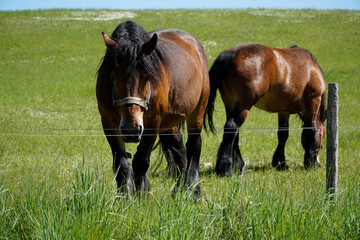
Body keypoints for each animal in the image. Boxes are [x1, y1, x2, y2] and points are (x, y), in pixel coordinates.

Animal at [95, 21, 210, 199]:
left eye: (147, 77)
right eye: (112, 77)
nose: (131, 130)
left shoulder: (152, 124)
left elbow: (141, 161)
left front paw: (140, 198)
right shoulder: (108, 123)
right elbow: (121, 163)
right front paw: (123, 199)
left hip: (197, 111)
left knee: (193, 147)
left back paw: (194, 191)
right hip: (169, 122)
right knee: (178, 146)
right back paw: (179, 189)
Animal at [205, 43, 326, 175]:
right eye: (323, 135)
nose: (318, 162)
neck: (311, 68)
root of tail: (233, 53)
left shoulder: (284, 111)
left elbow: (283, 134)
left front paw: (281, 163)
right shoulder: (313, 102)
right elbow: (311, 130)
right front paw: (311, 163)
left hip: (230, 105)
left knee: (234, 133)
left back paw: (239, 165)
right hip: (243, 107)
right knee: (231, 127)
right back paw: (225, 168)